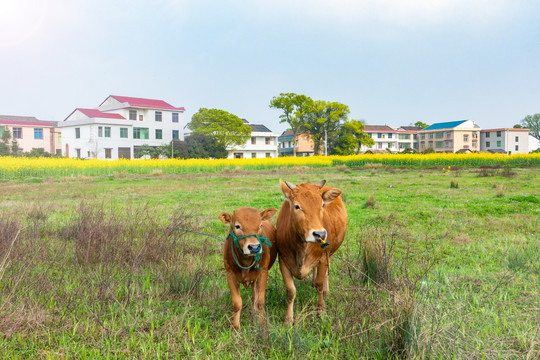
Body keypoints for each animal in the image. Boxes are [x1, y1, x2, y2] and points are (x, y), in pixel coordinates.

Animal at [276, 179, 348, 324]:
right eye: (297, 206)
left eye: (322, 205)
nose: (320, 234)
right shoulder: (283, 261)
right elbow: (290, 291)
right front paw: (288, 319)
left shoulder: (323, 259)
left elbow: (320, 284)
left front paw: (321, 310)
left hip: (329, 254)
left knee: (325, 276)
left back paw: (326, 291)